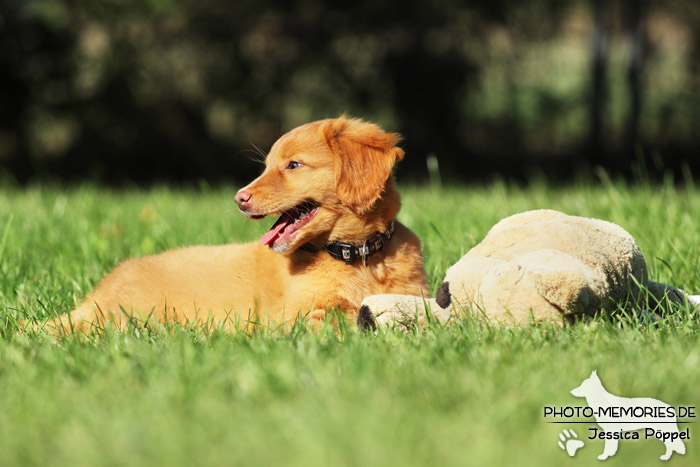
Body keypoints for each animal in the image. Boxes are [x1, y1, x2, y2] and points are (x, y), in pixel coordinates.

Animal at [41, 116, 430, 336]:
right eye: (268, 165)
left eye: (293, 165)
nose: (238, 198)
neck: (357, 256)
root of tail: (98, 293)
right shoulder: (296, 315)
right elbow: (337, 319)